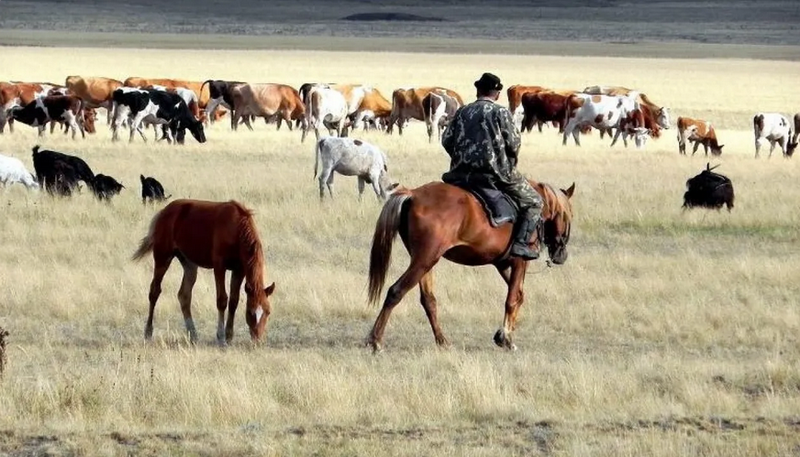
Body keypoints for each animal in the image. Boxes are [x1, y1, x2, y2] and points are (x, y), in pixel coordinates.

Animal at [133, 198, 276, 344]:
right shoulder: (219, 267)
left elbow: (233, 301)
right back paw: (148, 332)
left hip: (189, 264)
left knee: (184, 295)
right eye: (250, 312)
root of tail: (163, 211)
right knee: (154, 291)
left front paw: (229, 335)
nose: (257, 340)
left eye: (268, 311)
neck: (236, 228)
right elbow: (222, 300)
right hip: (163, 258)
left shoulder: (239, 270)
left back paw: (193, 334)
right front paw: (221, 337)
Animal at [368, 180, 576, 350]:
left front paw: (503, 334)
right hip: (424, 260)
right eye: (568, 216)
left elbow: (519, 296)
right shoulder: (519, 262)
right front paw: (506, 339)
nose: (561, 255)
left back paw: (442, 341)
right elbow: (512, 299)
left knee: (428, 300)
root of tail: (412, 194)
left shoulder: (502, 264)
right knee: (396, 291)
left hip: (424, 263)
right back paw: (375, 340)